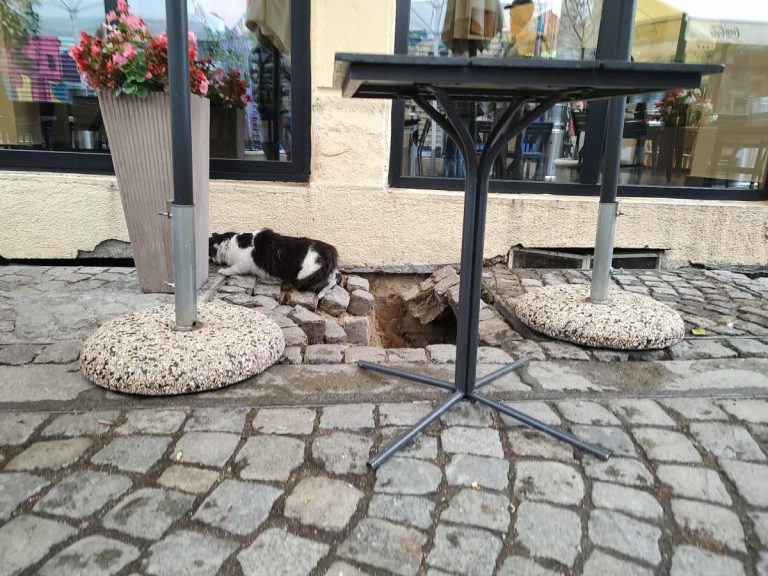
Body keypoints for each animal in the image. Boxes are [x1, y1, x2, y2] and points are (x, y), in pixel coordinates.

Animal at [209, 229, 342, 298]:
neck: (230, 243)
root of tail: (329, 250)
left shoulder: (242, 264)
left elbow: (232, 268)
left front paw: (223, 270)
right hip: (323, 272)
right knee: (336, 278)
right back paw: (324, 292)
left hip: (305, 273)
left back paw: (321, 294)